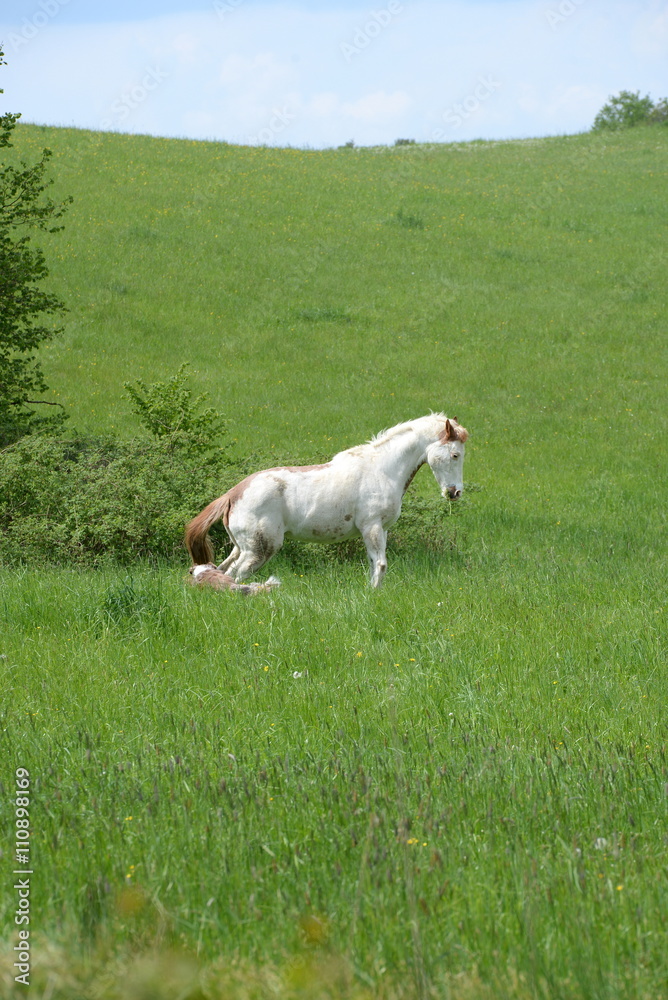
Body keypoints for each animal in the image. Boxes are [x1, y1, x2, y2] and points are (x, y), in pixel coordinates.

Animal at [184, 413, 468, 588]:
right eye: (455, 454)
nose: (455, 492)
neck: (382, 469)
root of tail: (232, 494)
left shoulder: (381, 530)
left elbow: (373, 565)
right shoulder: (372, 527)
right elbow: (381, 565)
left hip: (240, 547)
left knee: (222, 570)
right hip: (259, 550)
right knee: (235, 576)